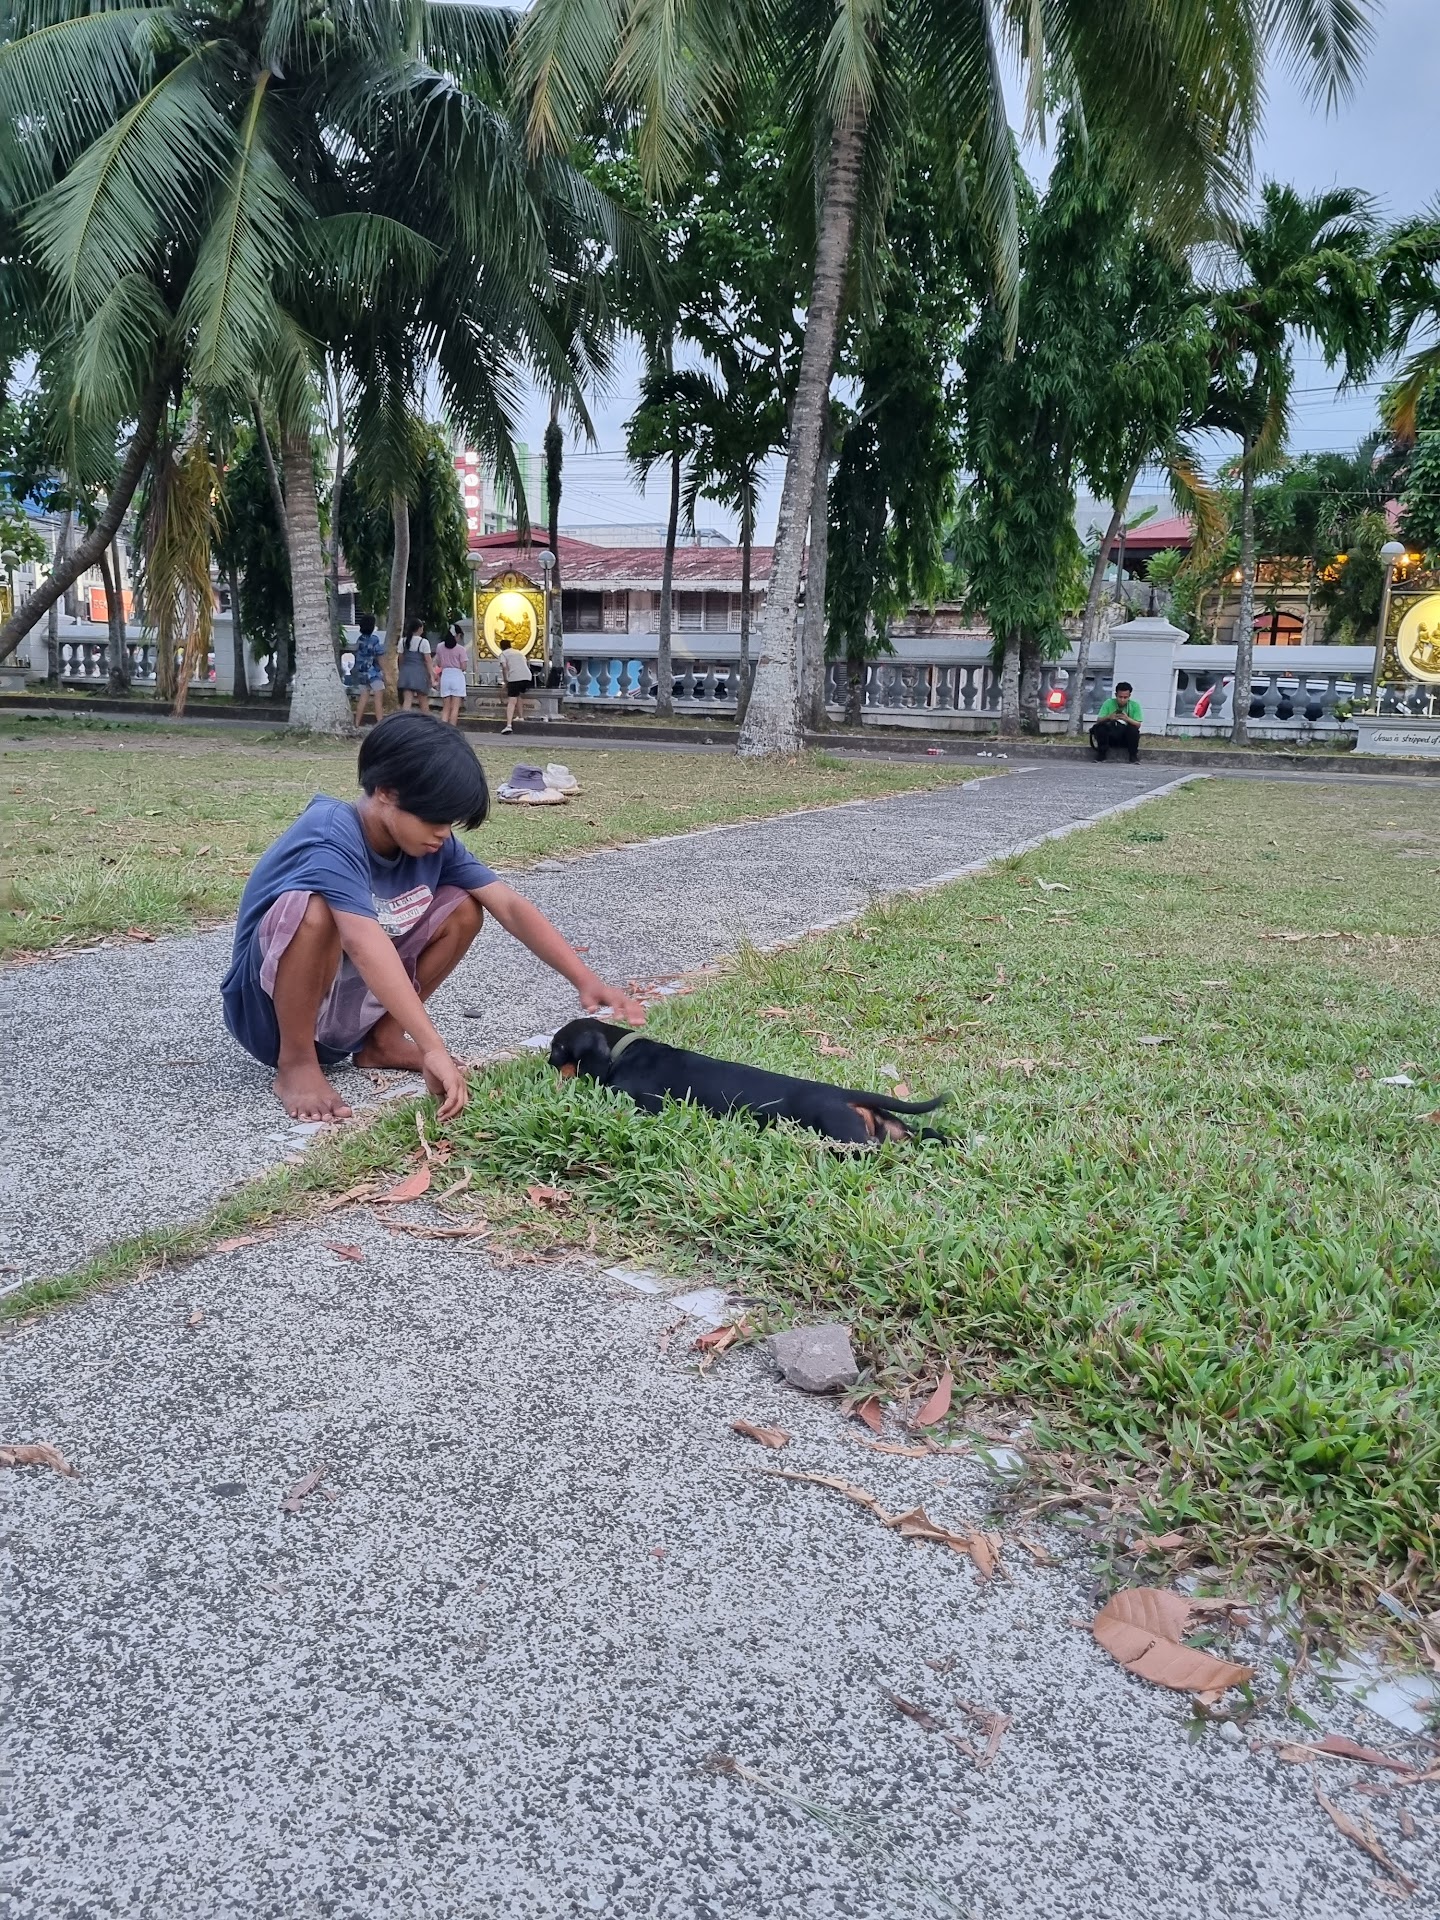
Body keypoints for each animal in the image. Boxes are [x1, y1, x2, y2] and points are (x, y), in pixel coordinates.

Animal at [547, 1019, 949, 1146]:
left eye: (556, 1046)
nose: (546, 1063)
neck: (623, 1050)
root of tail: (843, 1094)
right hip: (891, 1129)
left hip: (844, 1134)